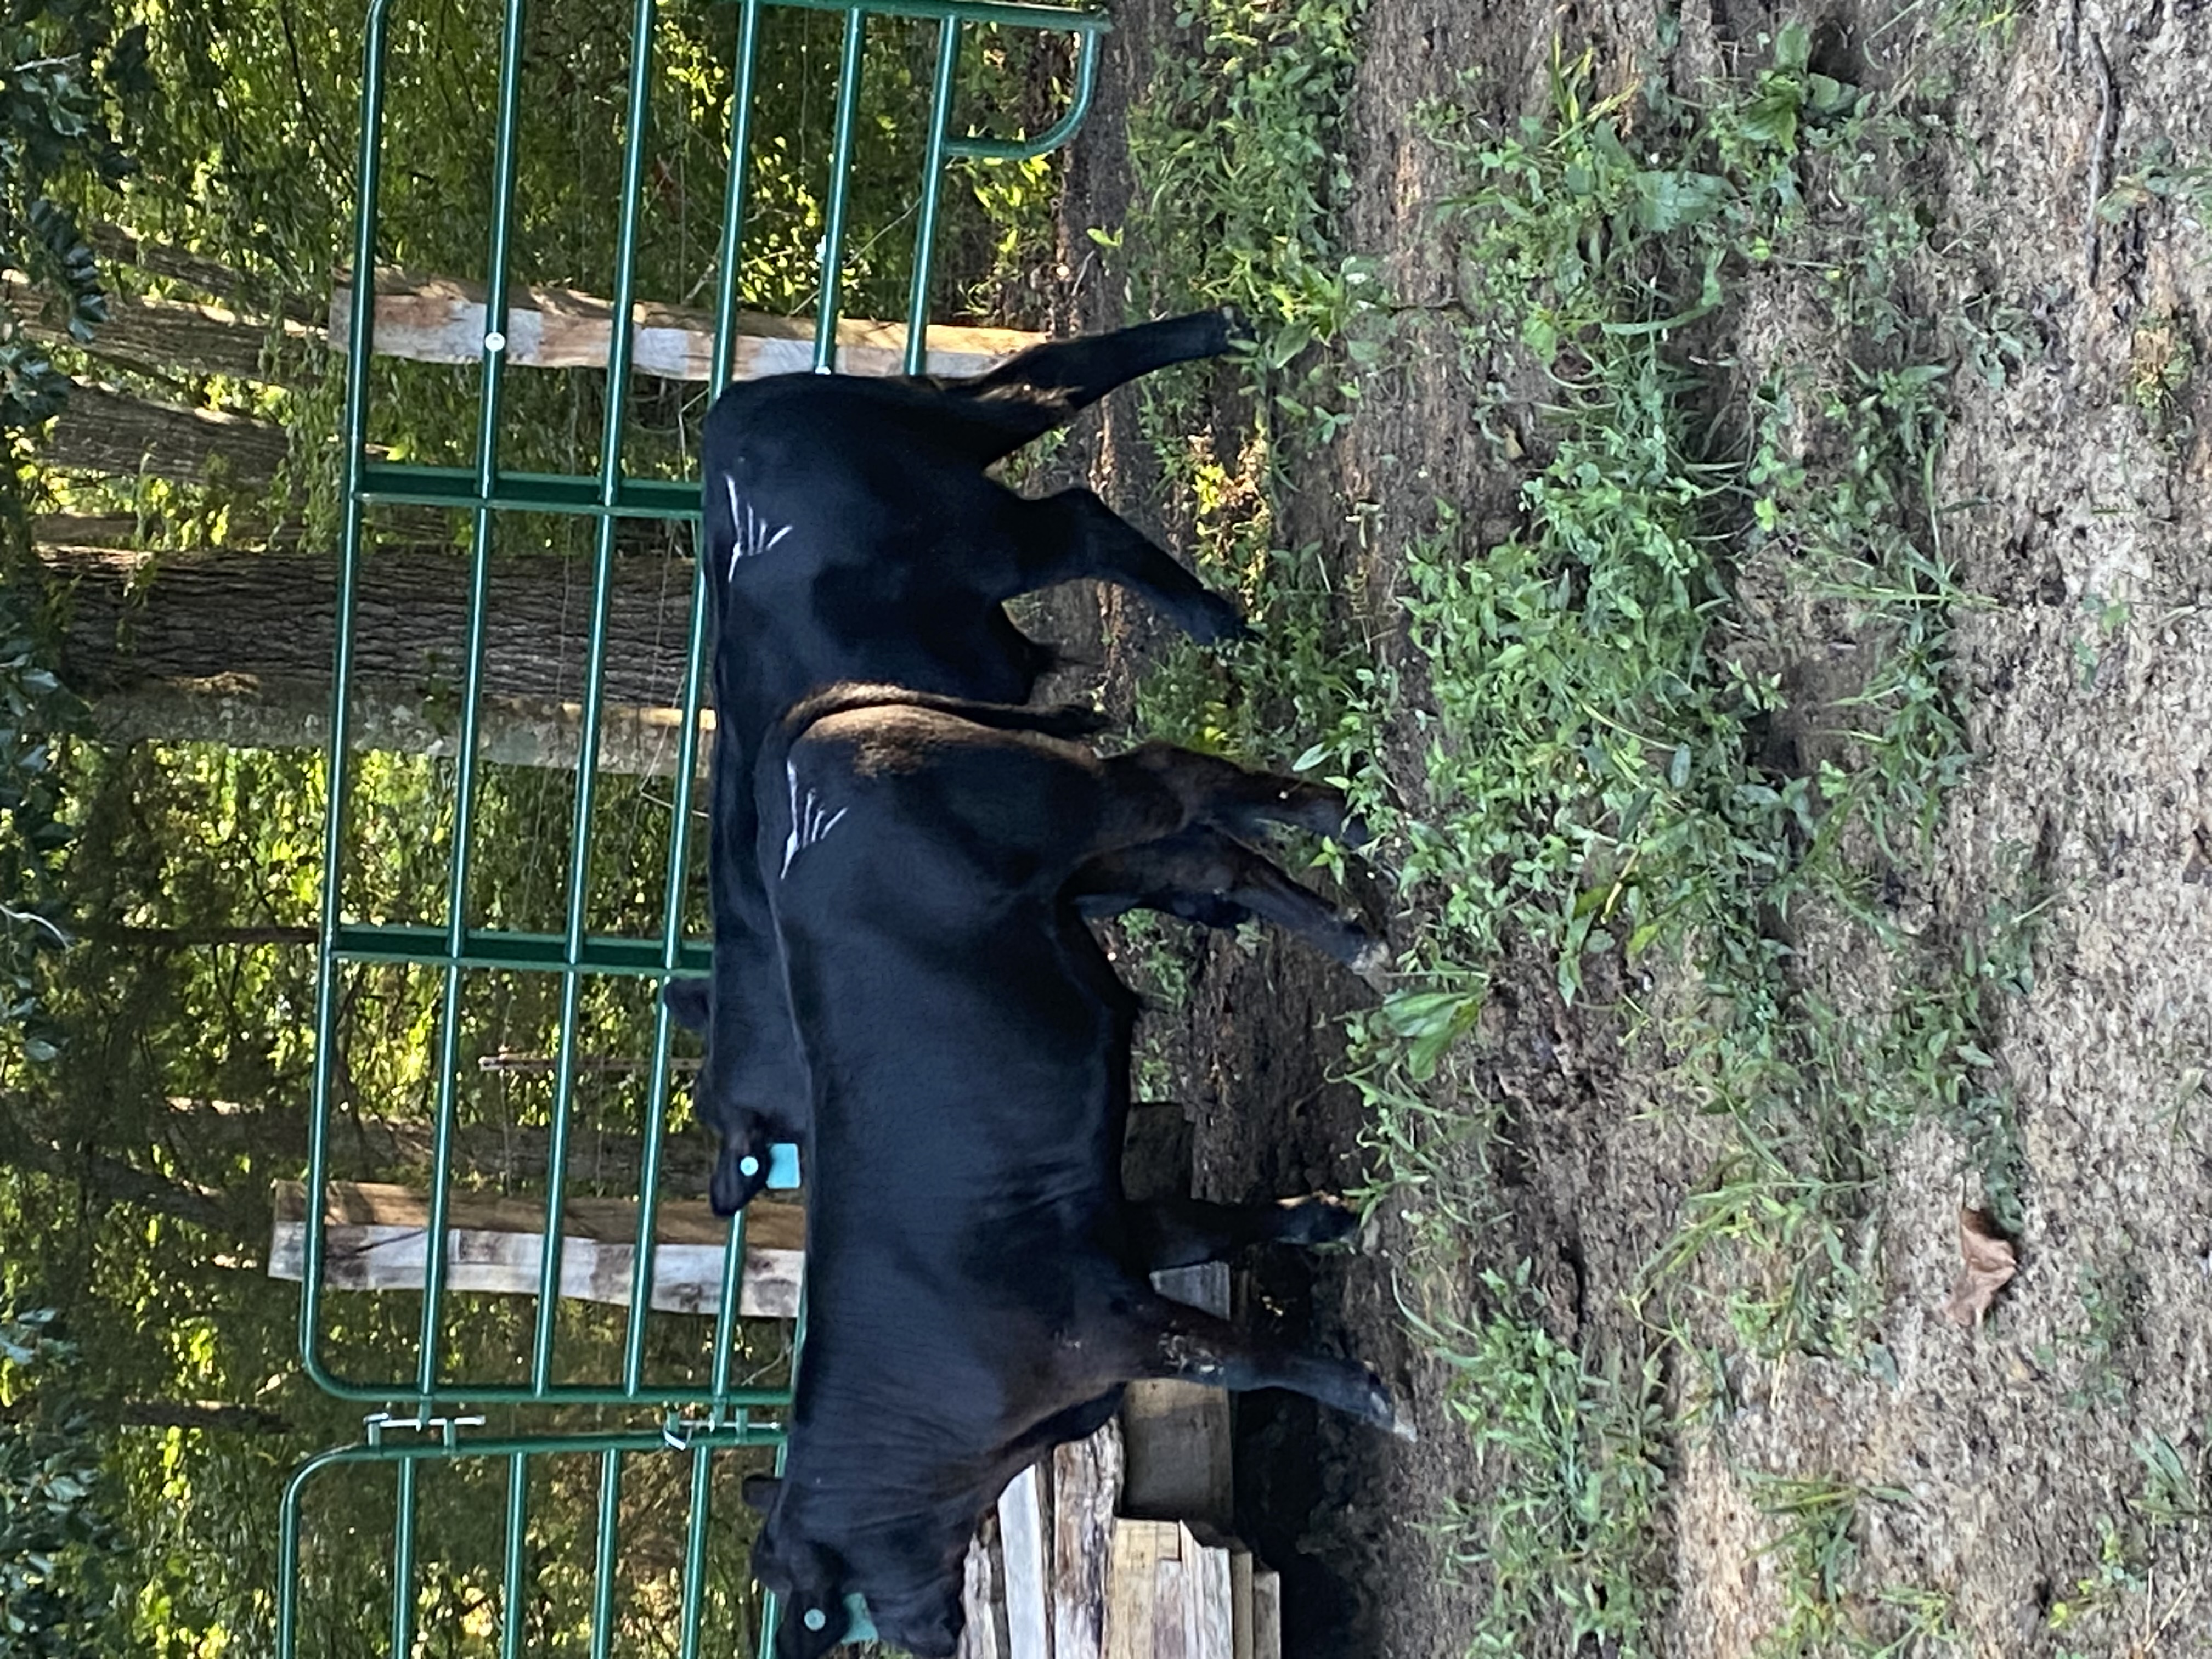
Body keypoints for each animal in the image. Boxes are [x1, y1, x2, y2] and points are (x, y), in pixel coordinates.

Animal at [675, 311, 1323, 1214]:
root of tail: (742, 420)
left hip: (989, 539)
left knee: (1082, 516)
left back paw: (1222, 623)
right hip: (959, 430)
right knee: (1055, 371)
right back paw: (1225, 331)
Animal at [742, 685, 1410, 1658]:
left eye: (827, 1609)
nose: (936, 1639)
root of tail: (801, 734)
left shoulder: (1111, 1329)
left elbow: (1243, 1363)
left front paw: (1373, 1398)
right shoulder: (1118, 1231)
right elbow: (1213, 1223)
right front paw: (1329, 1217)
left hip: (1080, 806)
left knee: (1177, 783)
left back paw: (1345, 827)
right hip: (1090, 858)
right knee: (1209, 858)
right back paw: (1358, 931)